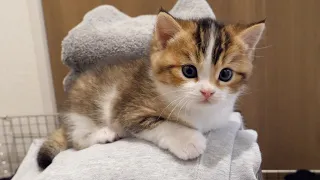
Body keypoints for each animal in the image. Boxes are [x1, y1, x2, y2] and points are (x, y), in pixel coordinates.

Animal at [37, 10, 264, 169]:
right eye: (189, 71)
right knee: (76, 140)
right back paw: (104, 134)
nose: (207, 92)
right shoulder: (128, 110)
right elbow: (165, 124)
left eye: (225, 74)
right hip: (82, 111)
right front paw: (188, 141)